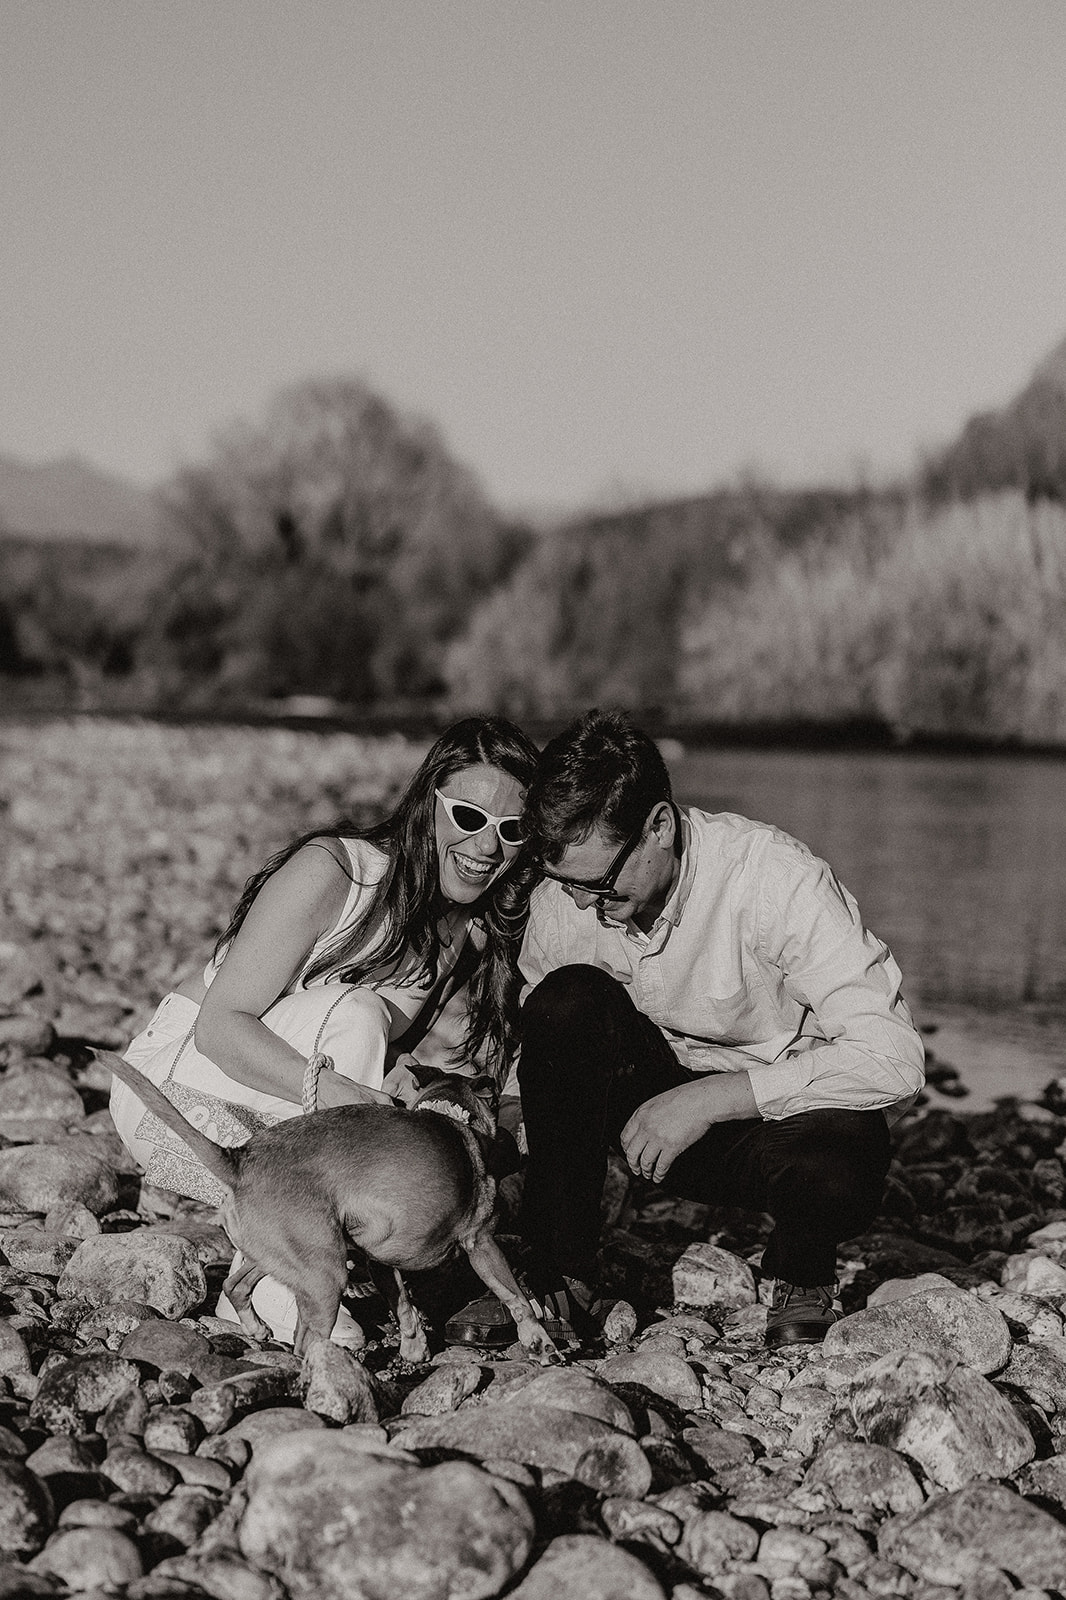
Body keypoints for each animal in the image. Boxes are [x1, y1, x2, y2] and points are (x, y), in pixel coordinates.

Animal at [99, 1049, 557, 1363]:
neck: (452, 1118)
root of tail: (239, 1159)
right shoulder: (481, 1242)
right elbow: (516, 1298)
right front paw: (542, 1344)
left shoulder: (380, 1260)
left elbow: (404, 1306)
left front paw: (413, 1347)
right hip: (326, 1275)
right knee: (305, 1343)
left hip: (288, 1256)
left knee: (235, 1286)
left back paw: (259, 1330)